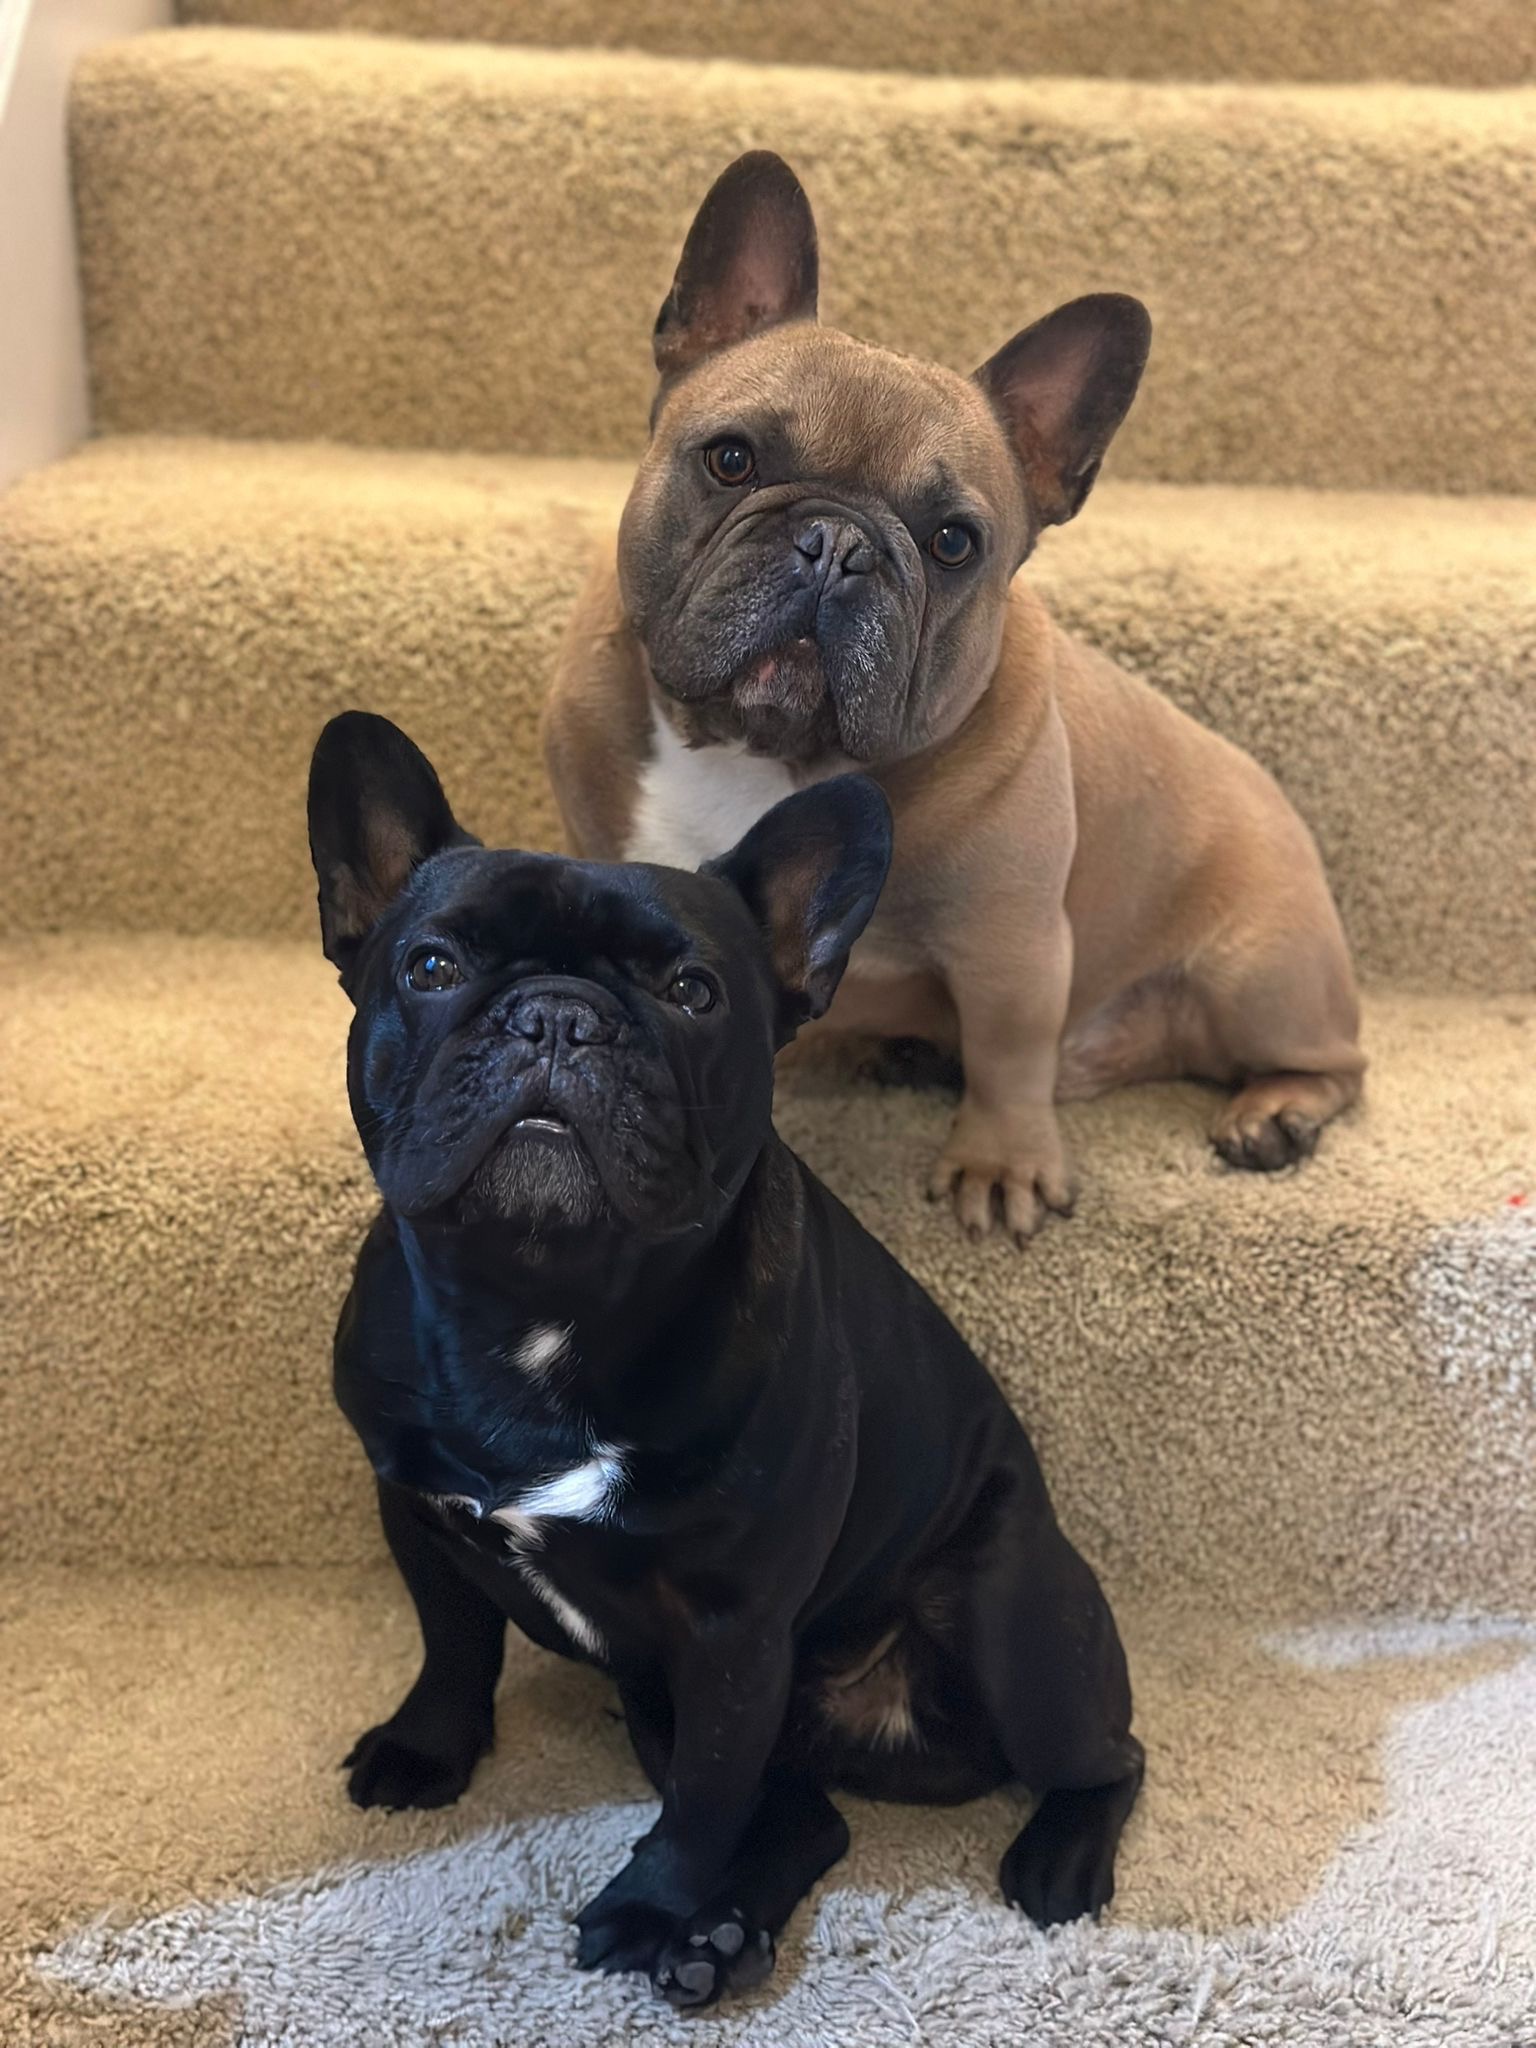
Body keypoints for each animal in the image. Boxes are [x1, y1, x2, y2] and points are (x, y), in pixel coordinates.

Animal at [308, 710, 1143, 2009]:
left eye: (693, 991)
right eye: (431, 967)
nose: (558, 1014)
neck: (543, 1293)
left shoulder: (730, 1627)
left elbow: (703, 1799)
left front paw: (654, 1905)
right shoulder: (417, 1512)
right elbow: (454, 1644)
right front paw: (428, 1747)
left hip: (1015, 1626)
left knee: (1105, 1752)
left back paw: (1051, 1857)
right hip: (655, 1694)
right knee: (805, 1816)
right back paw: (723, 1936)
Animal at [544, 151, 1365, 1247]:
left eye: (952, 543)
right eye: (731, 459)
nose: (837, 543)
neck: (763, 751)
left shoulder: (1011, 943)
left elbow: (1010, 1051)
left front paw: (1001, 1164)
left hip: (1260, 971)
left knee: (1336, 1062)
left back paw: (1272, 1113)